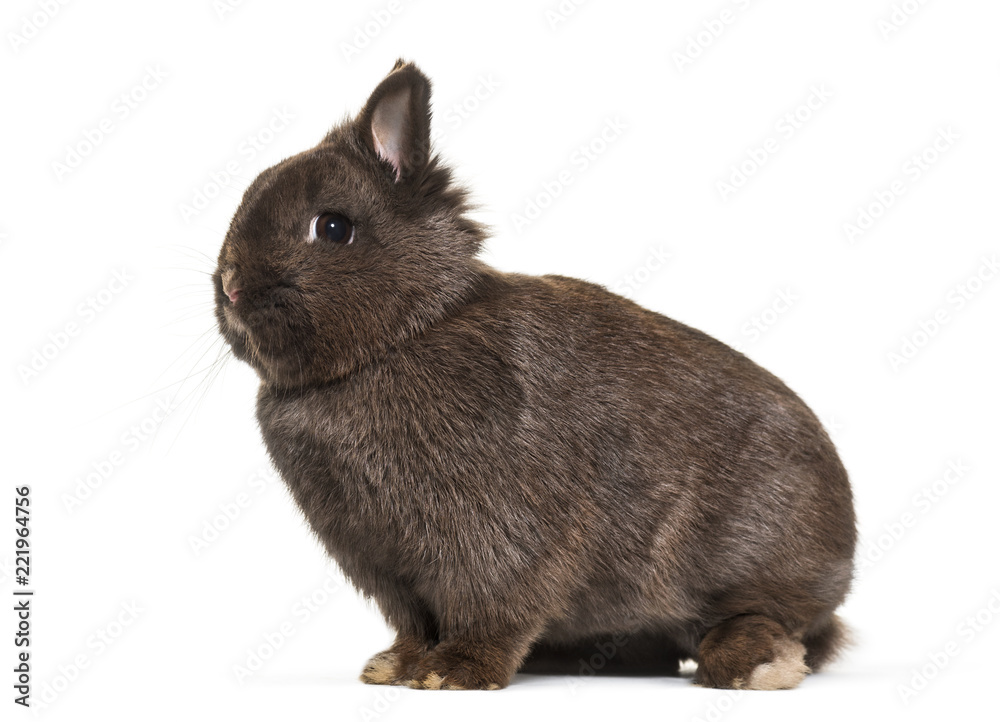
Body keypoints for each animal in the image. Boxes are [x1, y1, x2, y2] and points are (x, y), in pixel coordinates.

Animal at [213, 59, 856, 691]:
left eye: (332, 228)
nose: (232, 288)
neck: (403, 336)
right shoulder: (385, 568)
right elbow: (415, 622)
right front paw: (394, 667)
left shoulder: (496, 539)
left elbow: (493, 605)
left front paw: (453, 672)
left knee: (774, 624)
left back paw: (755, 664)